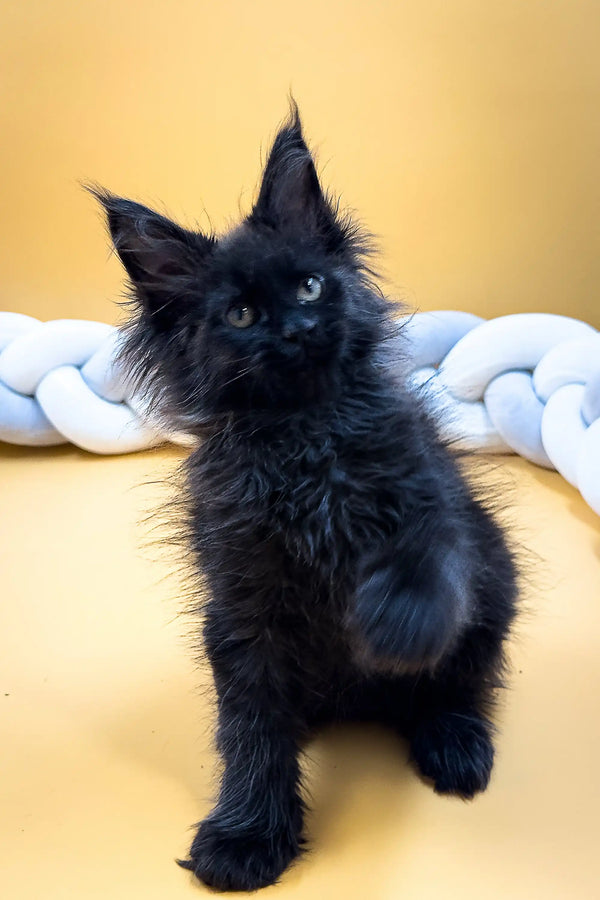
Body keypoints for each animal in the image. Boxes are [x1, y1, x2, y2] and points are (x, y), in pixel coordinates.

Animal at [94, 107, 516, 892]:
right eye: (239, 314)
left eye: (313, 287)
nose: (297, 328)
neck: (305, 440)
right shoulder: (241, 603)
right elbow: (251, 730)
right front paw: (247, 834)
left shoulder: (430, 500)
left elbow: (420, 568)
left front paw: (393, 627)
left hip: (496, 584)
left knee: (464, 681)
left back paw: (454, 743)